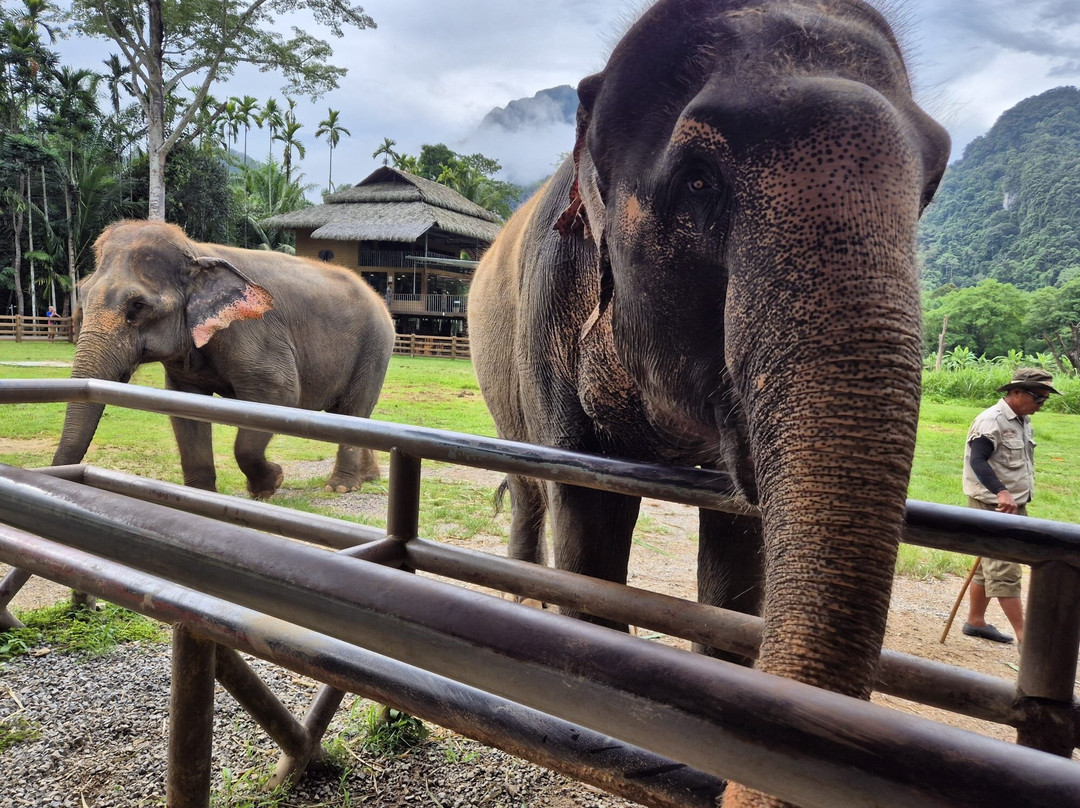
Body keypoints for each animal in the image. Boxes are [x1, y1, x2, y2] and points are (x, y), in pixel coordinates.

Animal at [53, 219, 396, 499]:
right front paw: (202, 496)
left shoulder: (253, 332)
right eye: (82, 296)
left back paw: (340, 487)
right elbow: (185, 409)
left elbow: (280, 395)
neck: (196, 251)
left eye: (137, 306)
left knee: (353, 410)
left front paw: (270, 484)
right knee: (354, 416)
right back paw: (368, 479)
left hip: (375, 347)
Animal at [468, 1, 948, 804]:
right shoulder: (549, 309)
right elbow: (590, 529)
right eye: (697, 181)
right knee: (533, 487)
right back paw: (521, 600)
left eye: (931, 181)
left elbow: (740, 553)